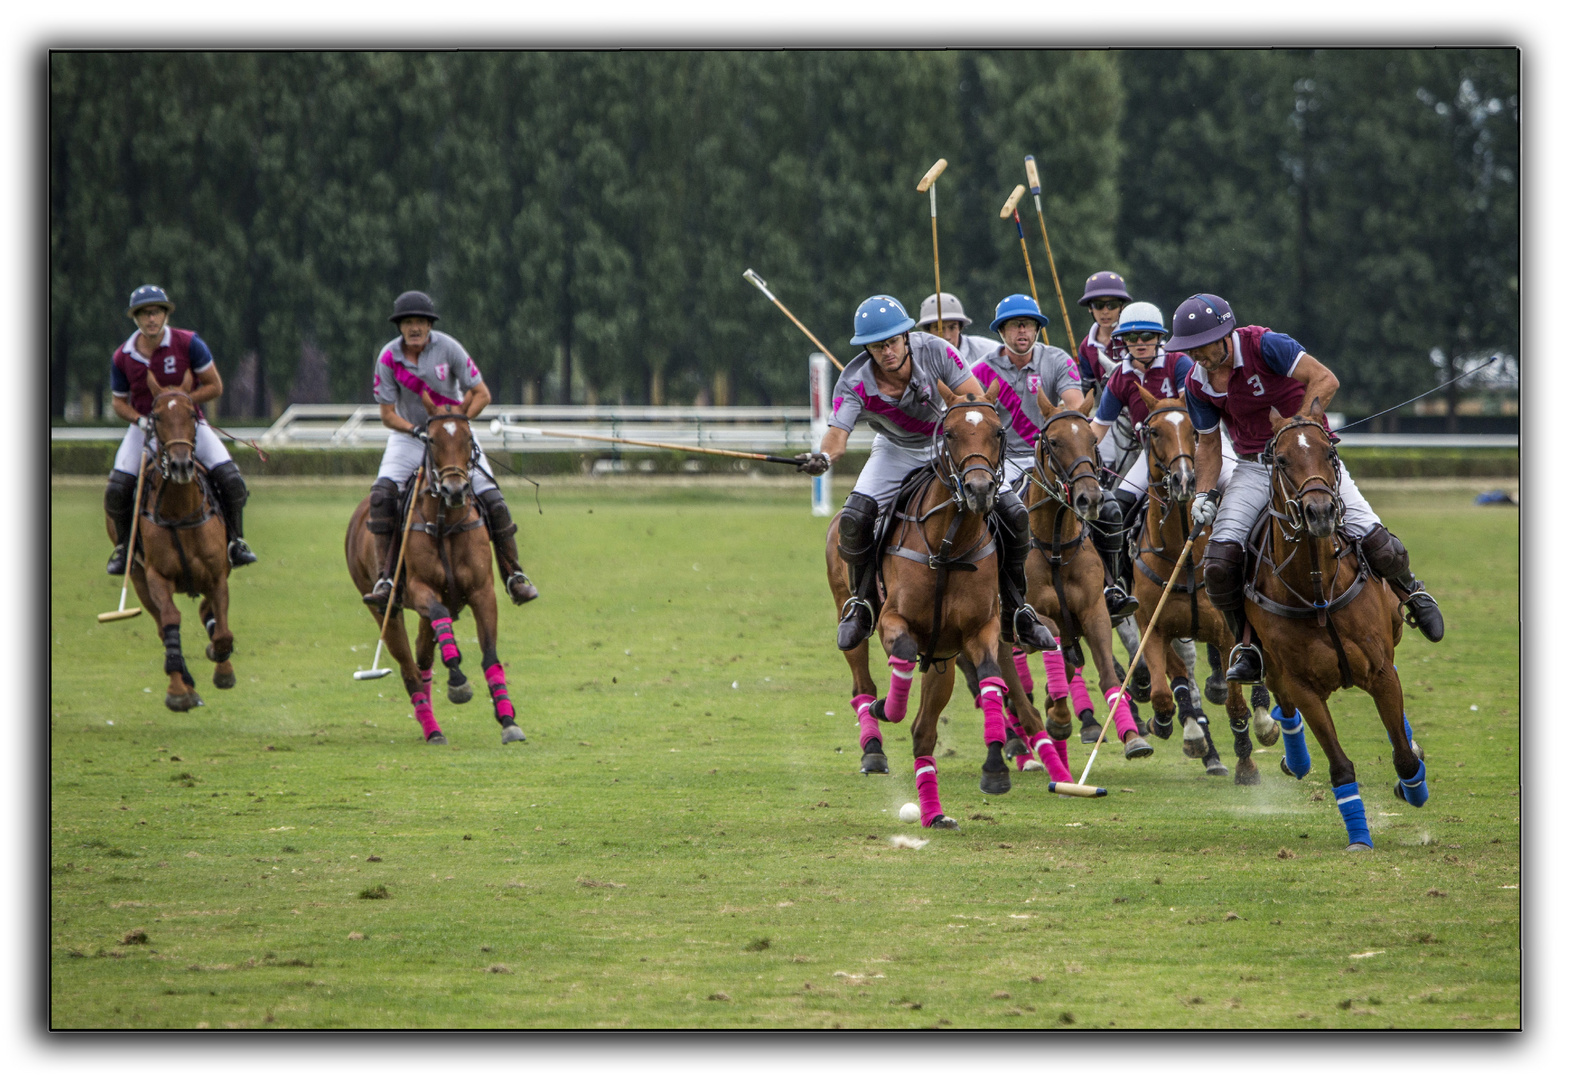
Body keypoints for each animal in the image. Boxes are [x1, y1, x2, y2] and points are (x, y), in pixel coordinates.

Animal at [119, 388, 234, 710]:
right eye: (156, 417)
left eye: (192, 414)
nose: (181, 465)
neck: (180, 512)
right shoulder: (157, 576)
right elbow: (171, 619)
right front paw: (178, 691)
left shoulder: (217, 575)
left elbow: (222, 631)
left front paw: (223, 668)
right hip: (138, 577)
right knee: (162, 625)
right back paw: (186, 680)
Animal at [342, 408, 524, 748]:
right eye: (432, 441)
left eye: (468, 438)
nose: (455, 490)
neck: (446, 521)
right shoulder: (420, 589)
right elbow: (441, 624)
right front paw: (458, 682)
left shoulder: (483, 593)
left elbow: (490, 655)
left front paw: (508, 720)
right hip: (383, 609)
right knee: (409, 669)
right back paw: (432, 729)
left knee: (423, 659)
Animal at [1018, 397, 1156, 760]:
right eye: (1053, 442)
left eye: (1092, 439)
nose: (1090, 498)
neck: (1055, 545)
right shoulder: (1038, 616)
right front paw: (1059, 717)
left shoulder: (1094, 613)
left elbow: (1107, 674)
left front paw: (1132, 737)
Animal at [1131, 388, 1275, 786]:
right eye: (1154, 432)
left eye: (1194, 432)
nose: (1184, 480)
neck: (1183, 557)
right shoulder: (1153, 628)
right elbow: (1166, 690)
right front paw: (1170, 725)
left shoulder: (1225, 635)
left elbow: (1236, 706)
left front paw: (1247, 764)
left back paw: (1264, 720)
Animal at [1250, 415, 1426, 855]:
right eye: (1280, 459)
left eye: (1329, 453)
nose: (1320, 512)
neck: (1317, 591)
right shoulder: (1303, 686)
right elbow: (1340, 767)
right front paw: (1359, 839)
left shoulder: (1380, 672)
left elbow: (1403, 757)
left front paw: (1413, 787)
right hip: (1269, 662)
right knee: (1280, 700)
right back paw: (1293, 757)